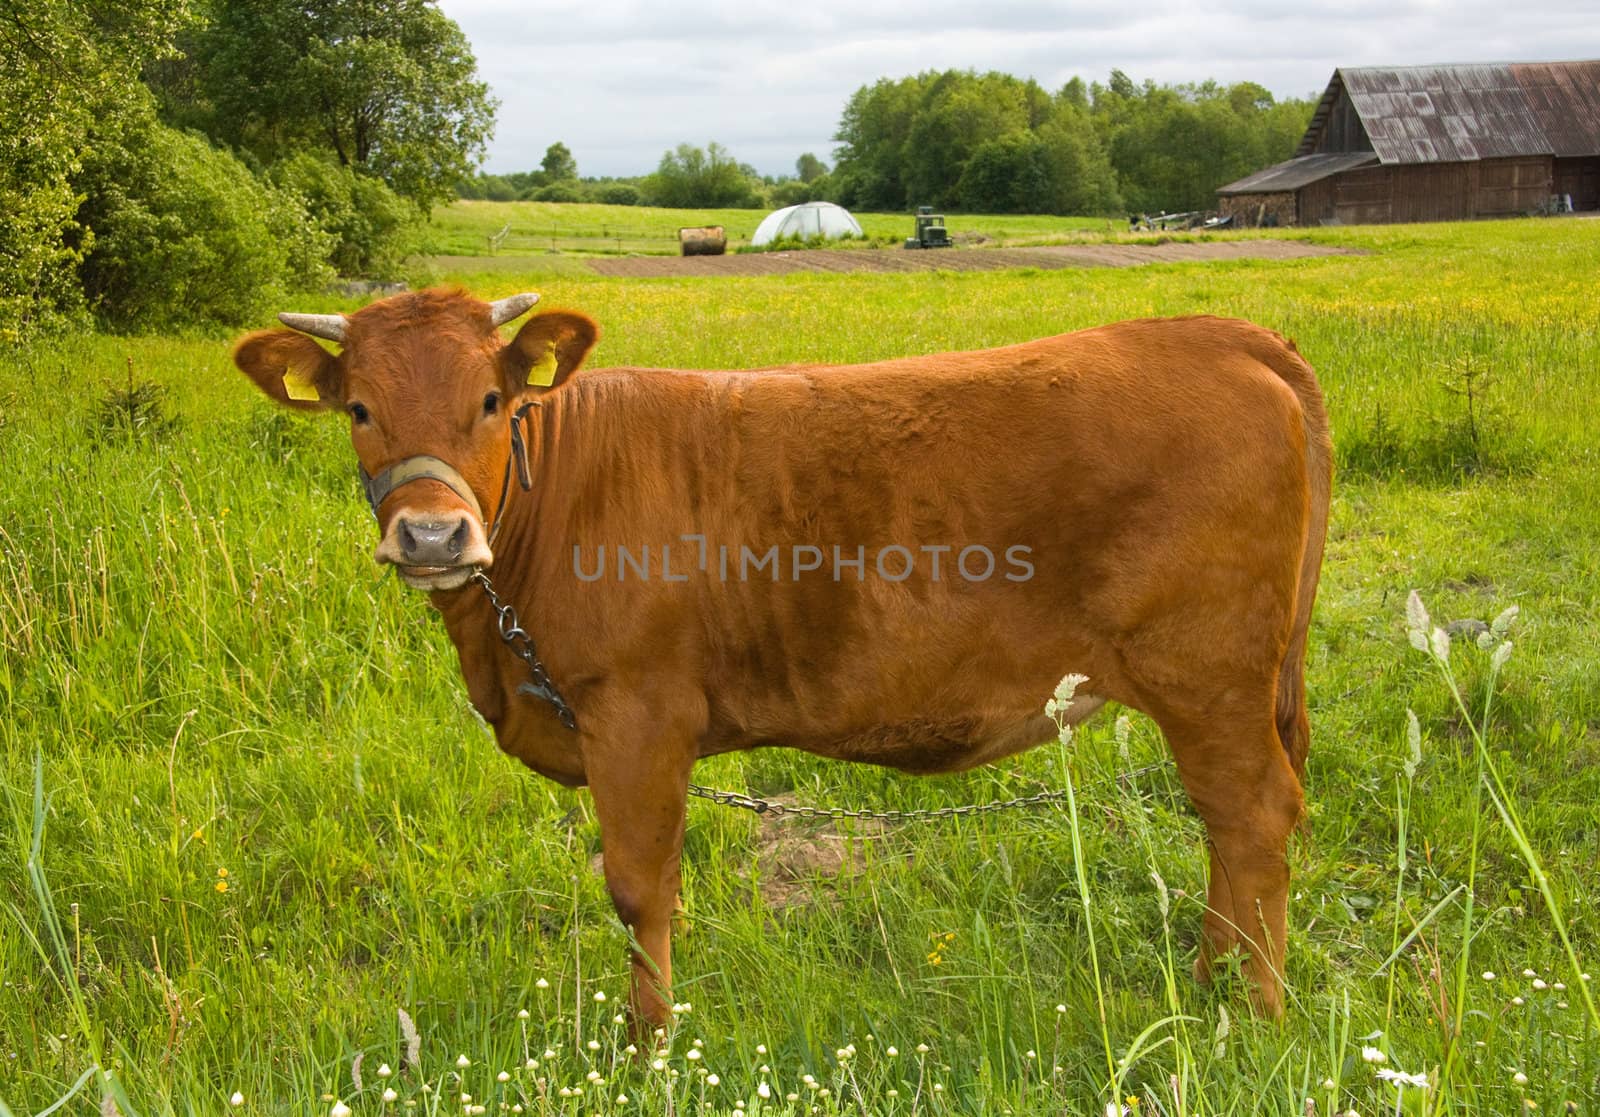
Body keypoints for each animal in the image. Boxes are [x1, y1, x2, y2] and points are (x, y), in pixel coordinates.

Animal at [233, 286, 1337, 1024]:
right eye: (360, 409)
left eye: (492, 403)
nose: (431, 536)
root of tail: (1218, 333)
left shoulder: (636, 714)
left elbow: (637, 887)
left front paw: (647, 1046)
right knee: (1227, 828)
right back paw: (1211, 983)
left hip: (1210, 678)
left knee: (1254, 818)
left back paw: (1251, 1010)